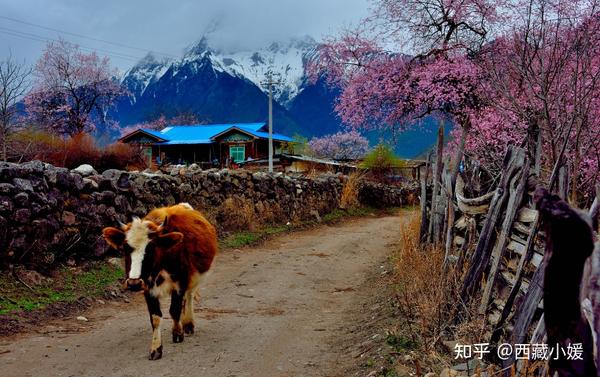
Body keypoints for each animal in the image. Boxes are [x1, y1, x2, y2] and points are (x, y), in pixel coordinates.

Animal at [102, 203, 217, 358]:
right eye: (125, 247)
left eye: (151, 247)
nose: (133, 283)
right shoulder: (147, 288)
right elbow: (155, 318)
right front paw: (156, 348)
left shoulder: (179, 283)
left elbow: (174, 310)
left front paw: (178, 333)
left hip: (195, 278)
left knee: (189, 296)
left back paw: (188, 324)